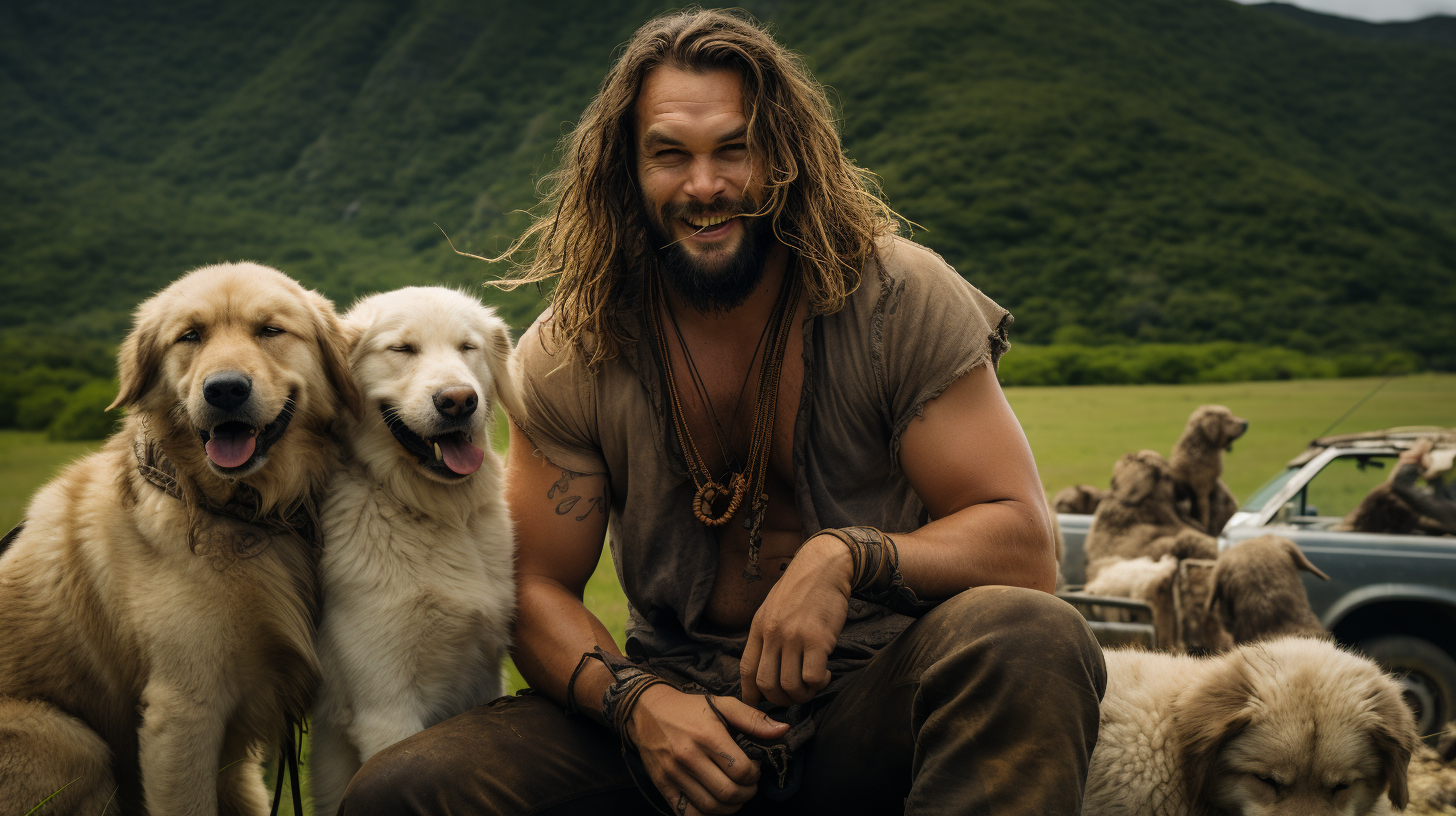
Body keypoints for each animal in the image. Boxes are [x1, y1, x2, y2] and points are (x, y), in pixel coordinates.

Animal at [0, 265, 361, 810]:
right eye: (191, 336)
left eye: (270, 330)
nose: (225, 390)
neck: (242, 512)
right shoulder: (183, 711)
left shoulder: (235, 754)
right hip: (68, 741)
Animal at [310, 288, 527, 816]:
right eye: (403, 349)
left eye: (467, 347)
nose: (458, 400)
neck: (438, 515)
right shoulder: (386, 706)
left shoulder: (482, 682)